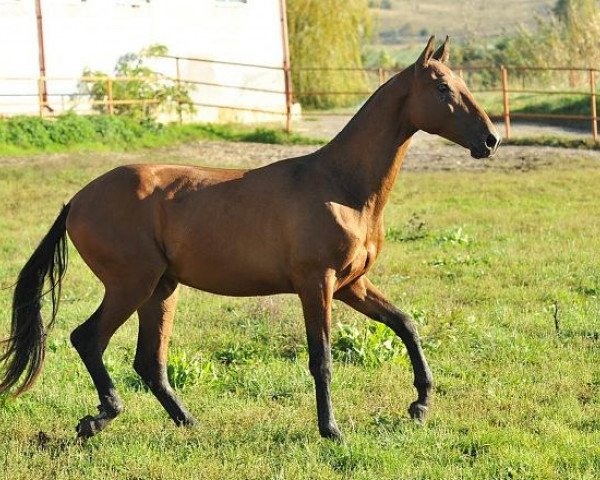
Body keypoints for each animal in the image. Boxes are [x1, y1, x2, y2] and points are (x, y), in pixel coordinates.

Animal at [0, 37, 500, 440]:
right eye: (442, 87)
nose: (491, 140)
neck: (340, 186)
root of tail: (76, 201)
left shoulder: (351, 285)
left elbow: (406, 324)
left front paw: (420, 405)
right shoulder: (316, 284)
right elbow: (321, 358)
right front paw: (331, 430)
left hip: (161, 290)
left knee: (149, 362)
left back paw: (189, 423)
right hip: (131, 285)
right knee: (88, 339)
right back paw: (100, 418)